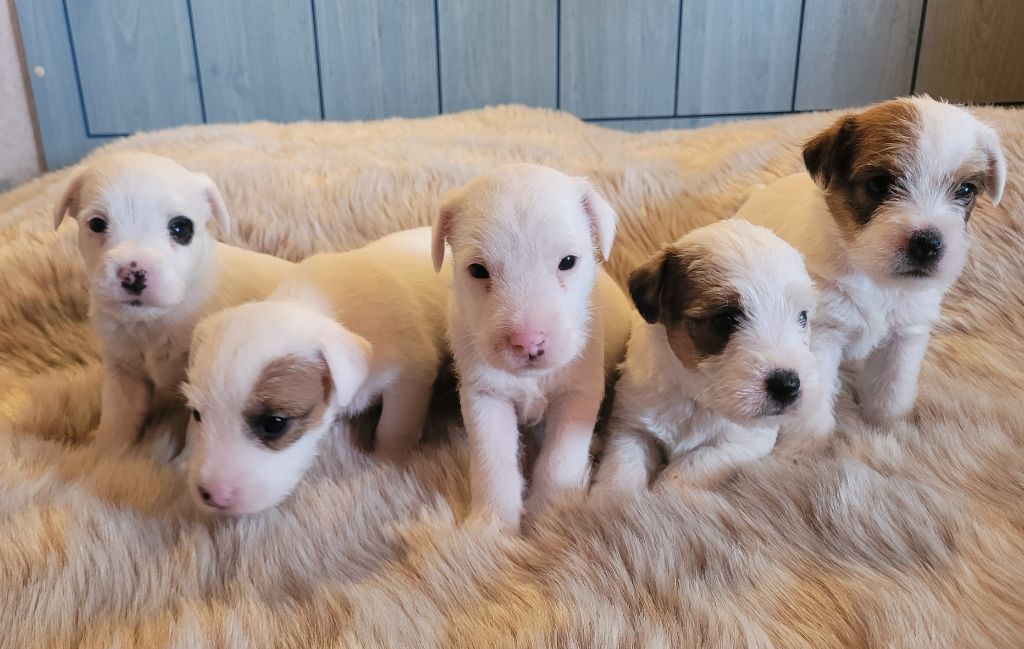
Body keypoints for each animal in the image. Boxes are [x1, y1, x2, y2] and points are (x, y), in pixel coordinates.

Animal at [184, 225, 448, 513]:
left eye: (274, 423)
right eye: (197, 414)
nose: (212, 495)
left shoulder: (409, 376)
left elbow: (395, 427)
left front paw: (387, 459)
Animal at [432, 161, 630, 532]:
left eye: (568, 261)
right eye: (477, 270)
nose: (528, 342)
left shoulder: (578, 392)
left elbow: (561, 458)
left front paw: (550, 519)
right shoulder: (486, 396)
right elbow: (493, 460)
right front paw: (491, 527)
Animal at [589, 217, 819, 489]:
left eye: (802, 316)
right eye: (724, 319)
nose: (788, 385)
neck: (695, 397)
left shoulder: (745, 441)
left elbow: (686, 470)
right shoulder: (631, 426)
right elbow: (621, 470)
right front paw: (616, 497)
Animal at [737, 93, 1007, 442]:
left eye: (965, 190)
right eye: (879, 184)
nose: (928, 244)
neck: (874, 278)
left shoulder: (904, 337)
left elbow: (892, 391)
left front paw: (887, 430)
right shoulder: (821, 336)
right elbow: (814, 405)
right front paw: (811, 447)